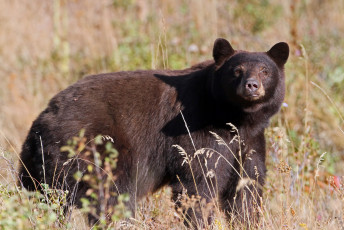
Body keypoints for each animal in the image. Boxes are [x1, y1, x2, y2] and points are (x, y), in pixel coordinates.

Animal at [18, 38, 288, 228]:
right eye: (236, 70)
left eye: (265, 70)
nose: (252, 85)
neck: (234, 117)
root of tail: (42, 120)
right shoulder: (197, 131)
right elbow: (198, 182)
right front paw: (200, 220)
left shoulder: (248, 141)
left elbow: (246, 186)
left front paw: (247, 219)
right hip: (95, 148)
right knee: (111, 195)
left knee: (49, 200)